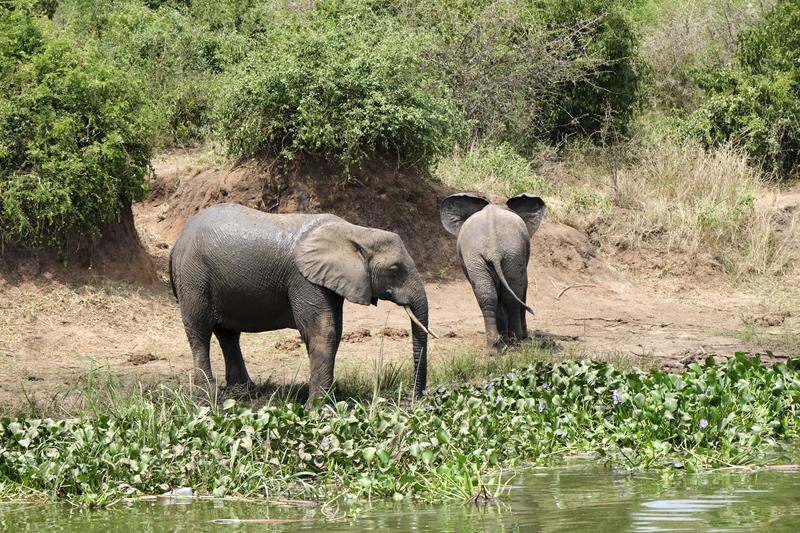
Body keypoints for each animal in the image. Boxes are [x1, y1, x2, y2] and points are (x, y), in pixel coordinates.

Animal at [169, 202, 432, 406]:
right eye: (395, 269)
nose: (415, 399)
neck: (355, 232)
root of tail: (178, 242)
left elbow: (335, 333)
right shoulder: (304, 280)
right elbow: (323, 332)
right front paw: (316, 409)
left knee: (228, 335)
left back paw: (244, 394)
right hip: (194, 277)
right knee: (200, 333)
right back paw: (208, 398)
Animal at [440, 192, 548, 354]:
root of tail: (494, 249)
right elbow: (523, 286)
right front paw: (520, 337)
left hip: (487, 257)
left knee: (487, 296)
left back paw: (495, 347)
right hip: (510, 255)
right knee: (510, 296)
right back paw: (514, 342)